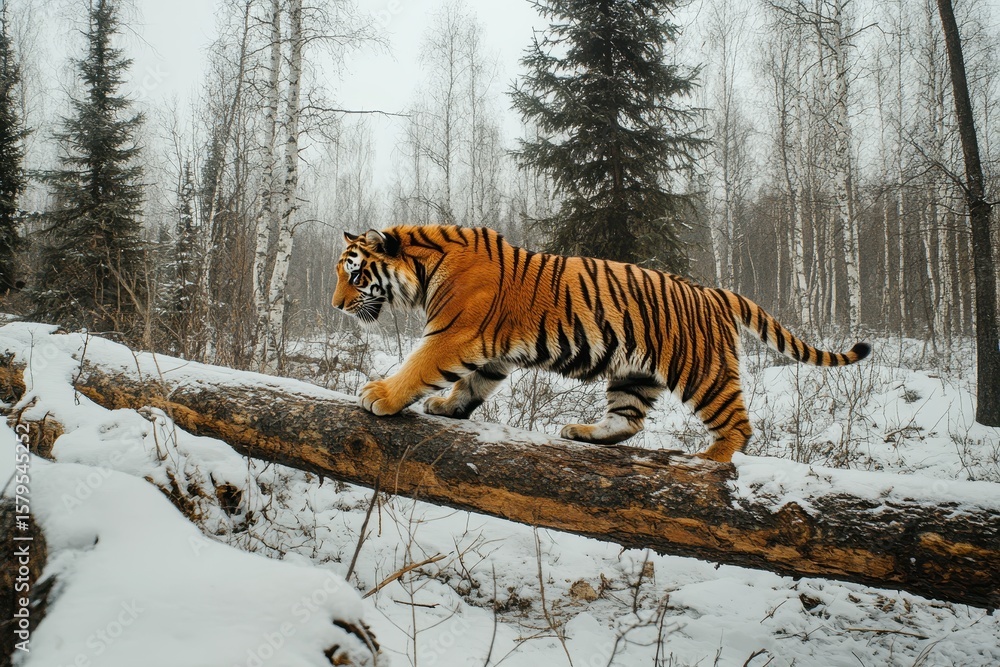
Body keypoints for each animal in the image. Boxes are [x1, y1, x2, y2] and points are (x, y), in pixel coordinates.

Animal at [332, 225, 870, 462]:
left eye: (354, 275)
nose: (336, 306)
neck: (423, 271)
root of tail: (712, 290)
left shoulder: (453, 333)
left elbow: (418, 366)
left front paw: (379, 395)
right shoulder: (492, 351)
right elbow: (471, 386)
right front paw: (448, 407)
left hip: (702, 371)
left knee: (738, 425)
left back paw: (708, 460)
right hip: (634, 373)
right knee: (626, 420)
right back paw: (583, 433)